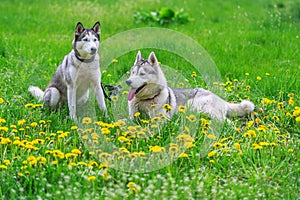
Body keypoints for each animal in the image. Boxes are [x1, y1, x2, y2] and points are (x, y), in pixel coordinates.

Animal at [125, 50, 254, 121]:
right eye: (132, 72)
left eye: (142, 74)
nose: (127, 81)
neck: (144, 100)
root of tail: (221, 99)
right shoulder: (131, 117)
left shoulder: (161, 119)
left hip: (200, 107)